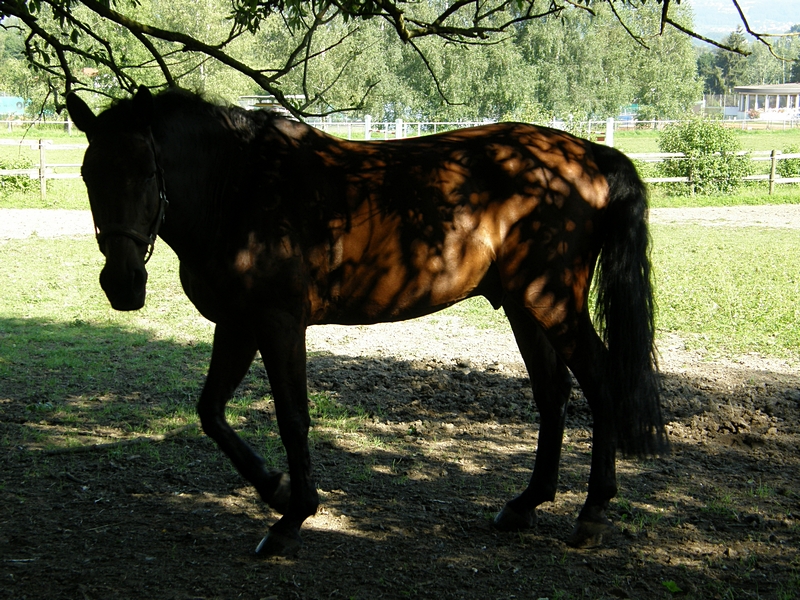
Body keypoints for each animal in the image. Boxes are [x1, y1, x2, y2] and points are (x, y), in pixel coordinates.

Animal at [65, 86, 664, 556]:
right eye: (90, 174)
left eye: (148, 170)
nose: (121, 283)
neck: (239, 189)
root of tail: (591, 154)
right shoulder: (236, 324)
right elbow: (211, 412)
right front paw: (276, 489)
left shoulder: (278, 323)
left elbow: (292, 417)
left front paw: (291, 517)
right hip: (524, 308)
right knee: (552, 394)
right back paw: (525, 504)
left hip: (551, 303)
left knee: (600, 382)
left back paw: (592, 513)